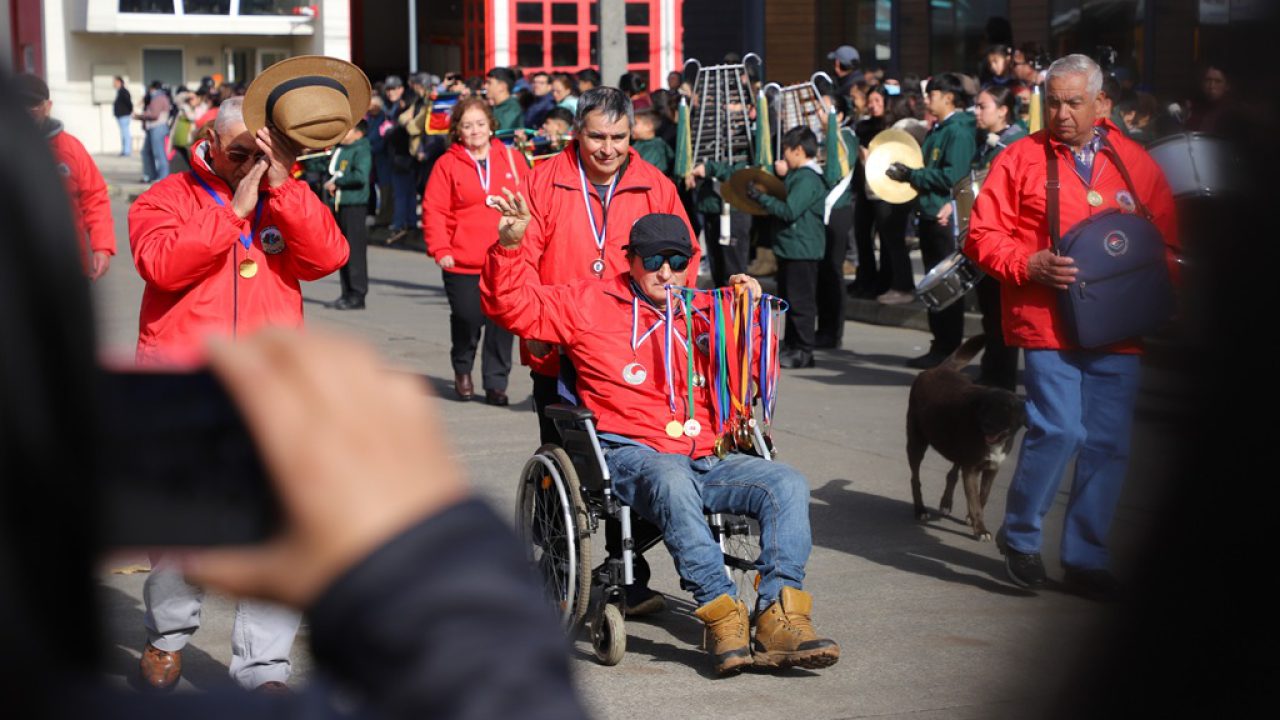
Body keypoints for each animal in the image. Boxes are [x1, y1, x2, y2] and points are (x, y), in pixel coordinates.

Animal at [906, 335, 1027, 540]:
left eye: (1005, 412)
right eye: (985, 409)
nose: (986, 425)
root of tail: (939, 369)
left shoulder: (992, 469)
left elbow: (982, 496)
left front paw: (973, 518)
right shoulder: (971, 469)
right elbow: (975, 500)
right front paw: (981, 529)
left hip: (955, 450)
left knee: (952, 474)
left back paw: (946, 503)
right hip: (916, 443)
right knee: (915, 479)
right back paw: (920, 510)